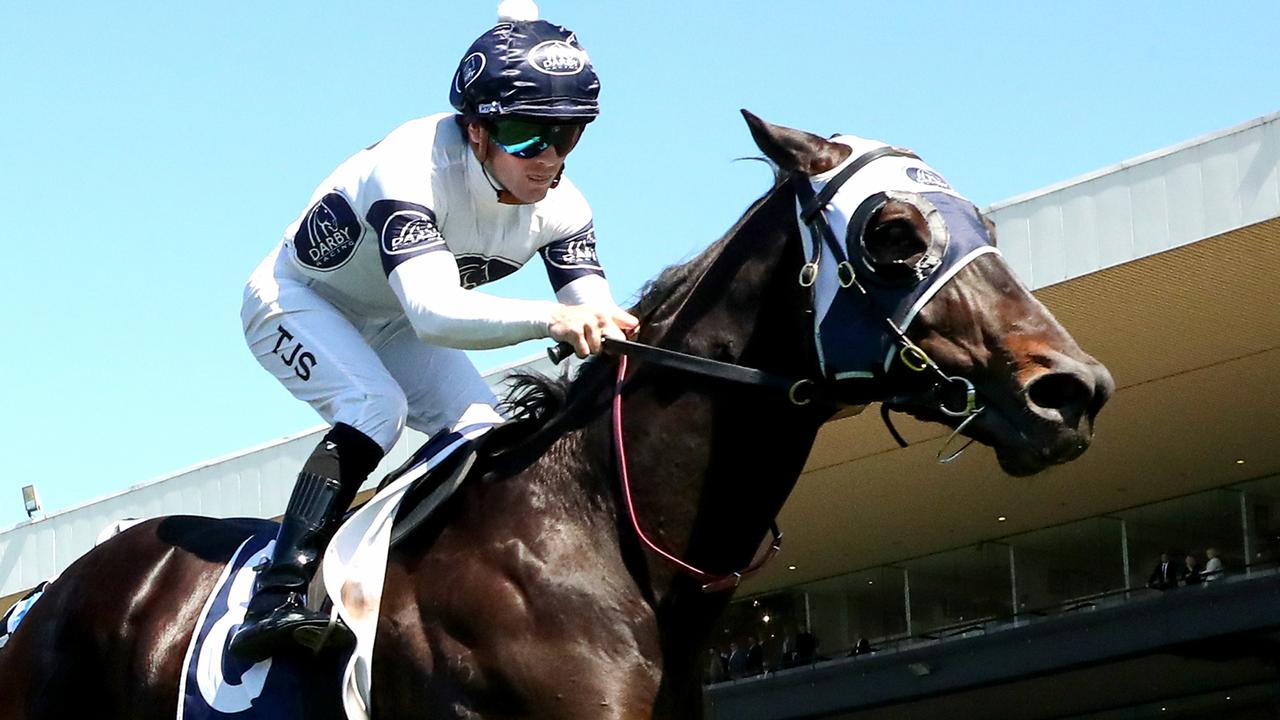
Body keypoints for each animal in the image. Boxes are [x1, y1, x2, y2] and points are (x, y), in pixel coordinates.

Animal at [0, 112, 1111, 717]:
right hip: (286, 315)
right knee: (363, 405)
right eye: (891, 232)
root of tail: (41, 599)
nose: (1073, 388)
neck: (601, 542)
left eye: (983, 223)